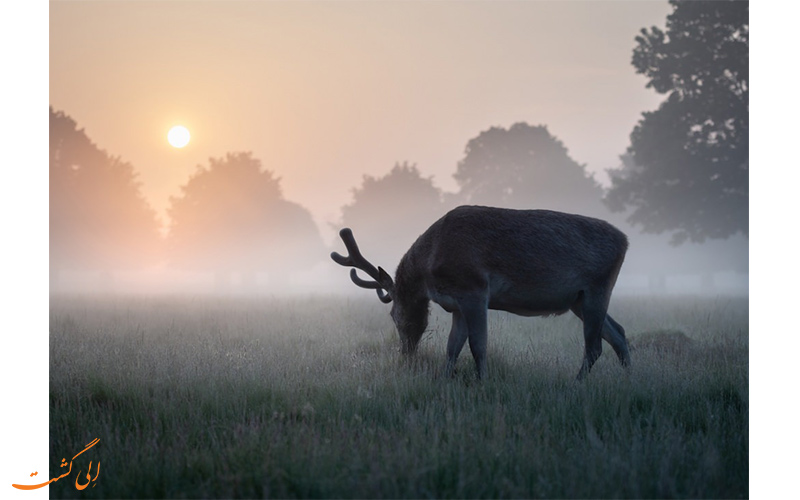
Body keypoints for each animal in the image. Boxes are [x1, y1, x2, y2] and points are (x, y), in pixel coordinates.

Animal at [332, 205, 632, 380]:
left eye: (393, 316)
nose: (405, 354)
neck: (431, 267)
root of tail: (626, 240)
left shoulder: (474, 289)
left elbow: (478, 345)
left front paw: (483, 382)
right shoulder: (457, 303)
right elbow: (452, 347)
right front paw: (446, 380)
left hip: (598, 286)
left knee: (594, 346)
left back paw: (577, 383)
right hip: (578, 300)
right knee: (618, 333)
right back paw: (629, 378)